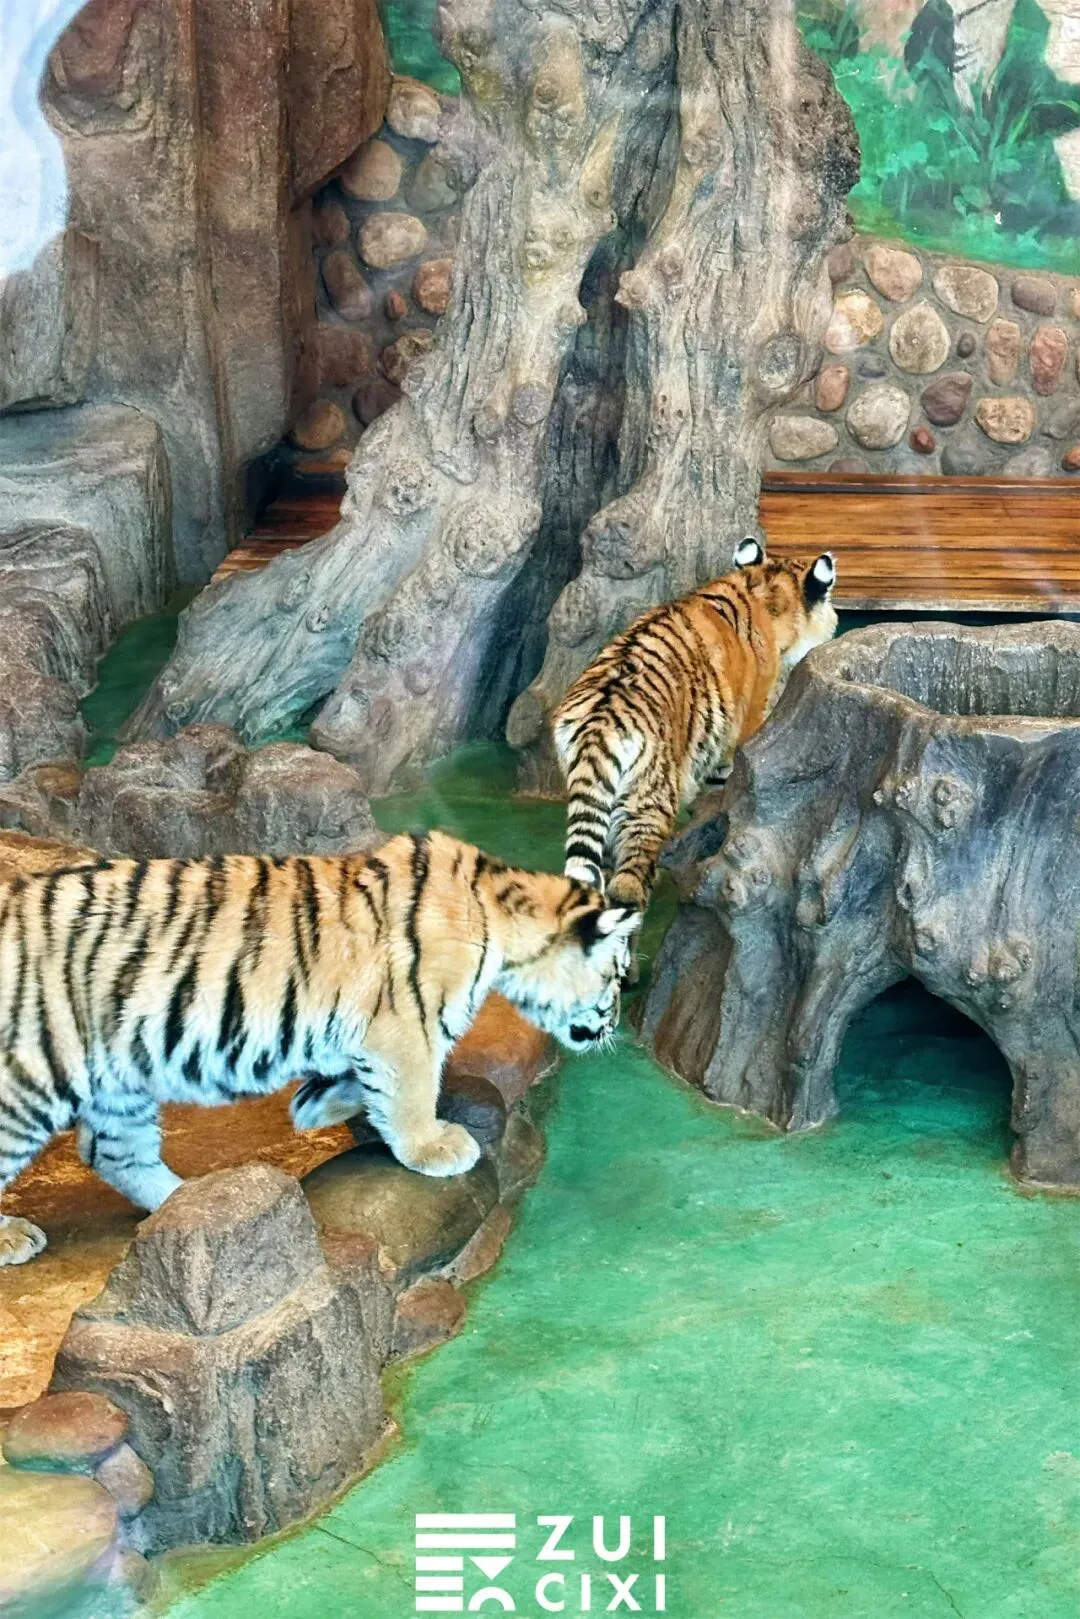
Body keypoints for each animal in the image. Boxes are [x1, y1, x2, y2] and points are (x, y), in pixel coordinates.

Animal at [0, 830, 640, 1267]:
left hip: (118, 1077)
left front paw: (316, 1106)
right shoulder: (406, 1025)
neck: (502, 914)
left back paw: (194, 1202)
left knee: (113, 1153)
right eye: (616, 978)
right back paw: (16, 1236)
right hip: (31, 1078)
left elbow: (360, 1082)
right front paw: (433, 1146)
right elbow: (412, 1092)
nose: (612, 1027)